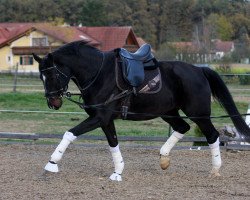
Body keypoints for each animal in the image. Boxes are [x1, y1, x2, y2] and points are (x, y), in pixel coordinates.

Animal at [33, 40, 250, 181]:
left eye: (51, 74)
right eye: (41, 76)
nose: (53, 102)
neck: (99, 74)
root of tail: (199, 70)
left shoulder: (100, 117)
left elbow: (69, 134)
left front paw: (51, 164)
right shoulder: (105, 120)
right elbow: (113, 143)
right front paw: (117, 172)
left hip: (199, 114)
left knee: (212, 135)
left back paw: (215, 170)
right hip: (169, 112)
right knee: (183, 127)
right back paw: (164, 158)